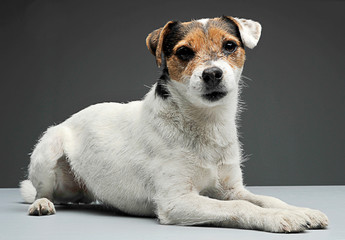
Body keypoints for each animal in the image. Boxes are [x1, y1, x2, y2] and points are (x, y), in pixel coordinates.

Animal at [19, 15, 328, 232]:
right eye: (184, 52)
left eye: (230, 45)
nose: (212, 73)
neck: (205, 123)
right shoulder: (177, 201)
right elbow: (243, 207)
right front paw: (279, 218)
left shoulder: (231, 189)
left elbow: (265, 199)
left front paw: (298, 210)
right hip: (48, 149)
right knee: (40, 192)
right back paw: (41, 203)